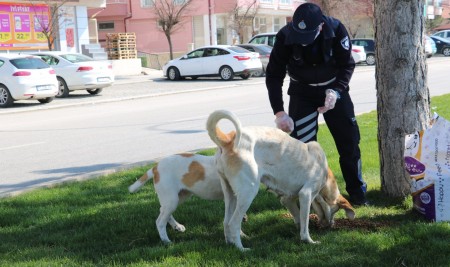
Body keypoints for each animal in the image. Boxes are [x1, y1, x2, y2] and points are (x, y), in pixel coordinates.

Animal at [207, 109, 356, 251]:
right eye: (336, 210)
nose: (331, 226)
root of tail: (228, 141)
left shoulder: (288, 199)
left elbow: (298, 217)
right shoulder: (306, 194)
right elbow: (305, 222)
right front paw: (309, 240)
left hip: (230, 194)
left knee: (226, 222)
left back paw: (230, 244)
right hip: (248, 192)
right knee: (233, 223)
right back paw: (241, 249)